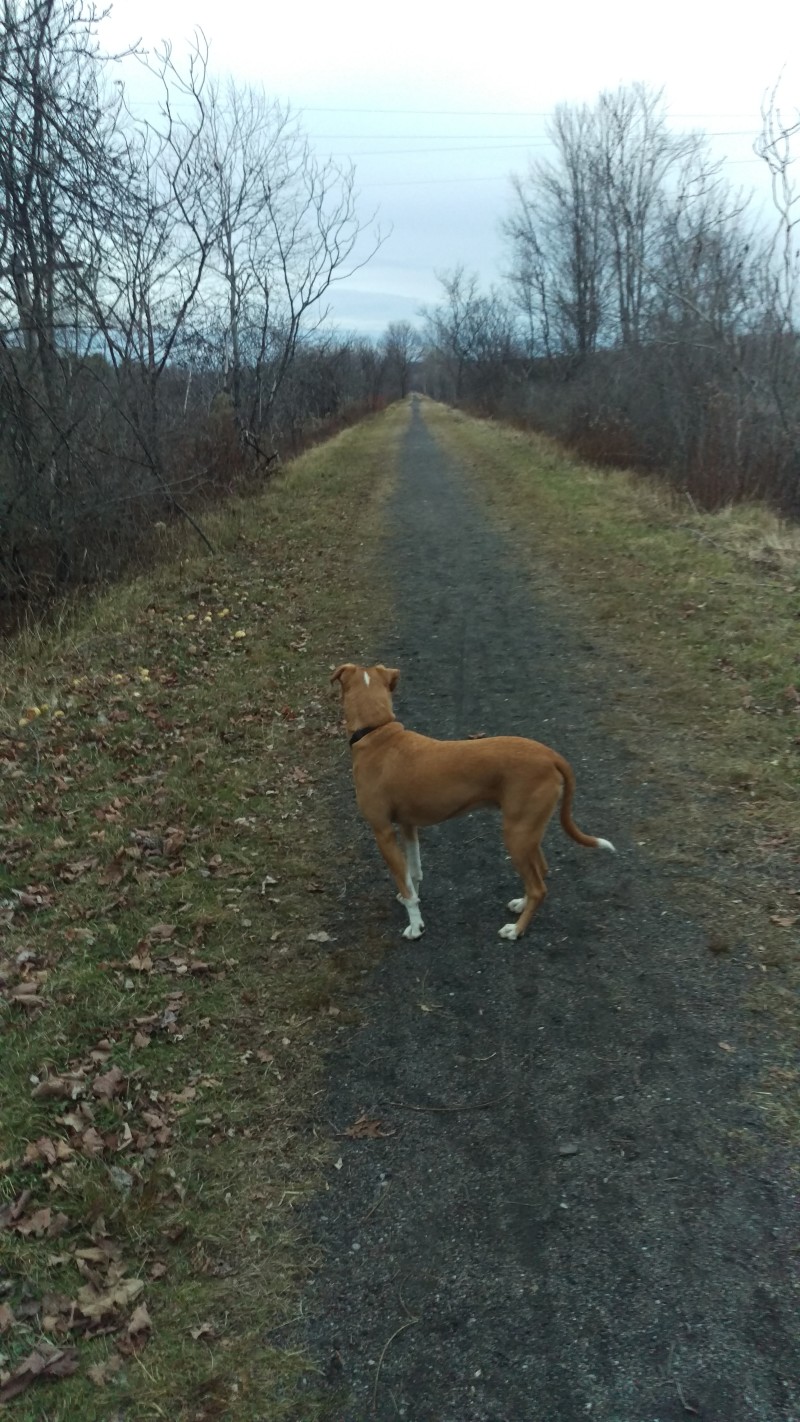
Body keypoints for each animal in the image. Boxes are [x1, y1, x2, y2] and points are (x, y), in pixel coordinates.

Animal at [328, 659, 616, 938]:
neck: (376, 733)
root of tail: (551, 756)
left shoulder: (383, 832)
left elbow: (406, 885)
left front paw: (416, 926)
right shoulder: (408, 825)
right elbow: (413, 871)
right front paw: (414, 901)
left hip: (517, 835)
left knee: (538, 888)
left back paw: (515, 930)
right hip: (528, 832)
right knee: (541, 872)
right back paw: (520, 905)